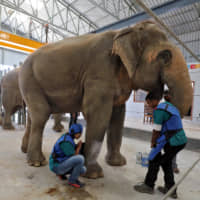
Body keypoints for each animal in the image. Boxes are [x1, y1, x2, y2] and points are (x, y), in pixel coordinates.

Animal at [18, 21, 192, 179]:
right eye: (165, 56)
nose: (151, 99)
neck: (127, 31)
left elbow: (118, 116)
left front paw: (118, 163)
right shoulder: (99, 71)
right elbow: (98, 114)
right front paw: (94, 175)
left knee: (32, 117)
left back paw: (25, 152)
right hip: (29, 80)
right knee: (41, 115)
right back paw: (37, 162)